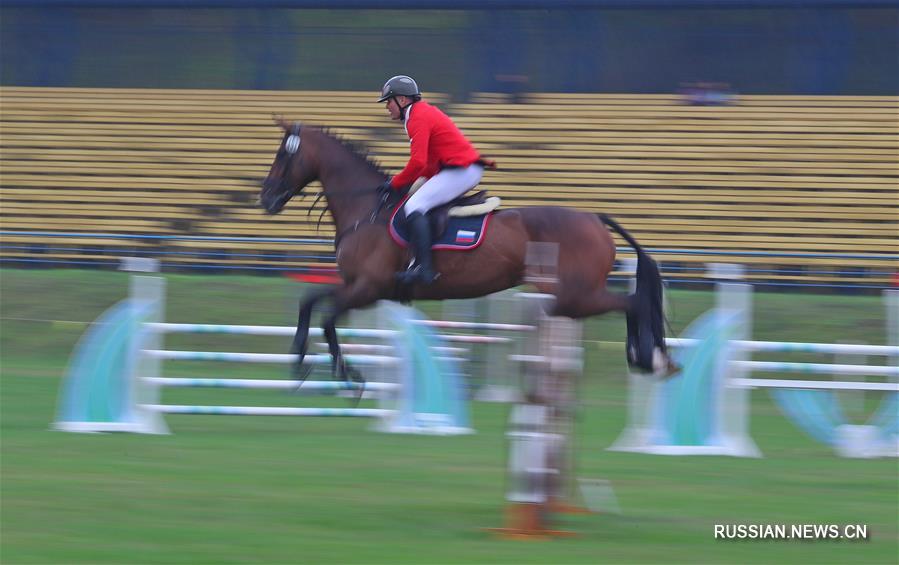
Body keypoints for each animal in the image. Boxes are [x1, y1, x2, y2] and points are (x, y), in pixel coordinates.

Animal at [260, 119, 676, 388]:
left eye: (282, 156)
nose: (266, 199)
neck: (367, 211)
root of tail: (594, 218)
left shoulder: (368, 288)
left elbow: (328, 317)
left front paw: (347, 373)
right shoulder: (354, 285)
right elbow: (309, 301)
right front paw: (298, 359)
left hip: (574, 296)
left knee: (634, 302)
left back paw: (647, 358)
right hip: (571, 297)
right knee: (633, 302)